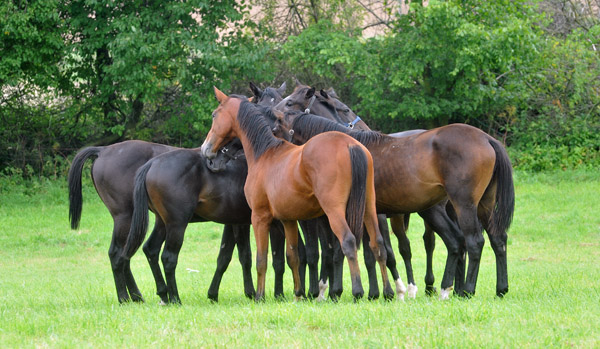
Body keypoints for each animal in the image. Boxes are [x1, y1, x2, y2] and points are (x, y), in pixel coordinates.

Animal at [67, 79, 288, 302]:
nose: (211, 158)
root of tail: (103, 150)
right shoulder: (248, 222)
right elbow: (252, 256)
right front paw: (261, 294)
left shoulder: (234, 220)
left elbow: (227, 255)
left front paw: (218, 294)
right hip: (133, 218)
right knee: (123, 254)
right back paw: (133, 297)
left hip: (154, 221)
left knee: (139, 252)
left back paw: (150, 295)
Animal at [196, 88, 398, 300]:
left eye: (214, 115)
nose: (206, 150)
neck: (265, 153)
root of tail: (351, 145)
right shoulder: (288, 219)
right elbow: (293, 255)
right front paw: (298, 293)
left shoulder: (260, 217)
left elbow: (262, 259)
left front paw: (260, 296)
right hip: (367, 208)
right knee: (378, 244)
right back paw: (387, 291)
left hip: (334, 212)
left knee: (348, 242)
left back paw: (357, 290)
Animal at [276, 110, 516, 298]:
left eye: (277, 126)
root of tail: (486, 139)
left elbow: (355, 250)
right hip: (479, 206)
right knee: (492, 239)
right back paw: (494, 288)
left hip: (464, 205)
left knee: (474, 241)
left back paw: (465, 289)